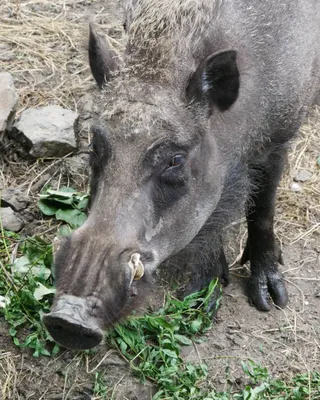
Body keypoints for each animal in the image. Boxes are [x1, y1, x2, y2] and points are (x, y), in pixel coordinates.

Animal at [43, 0, 320, 348]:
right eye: (95, 145)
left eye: (175, 160)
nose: (67, 319)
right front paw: (201, 299)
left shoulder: (282, 134)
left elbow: (262, 209)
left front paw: (271, 300)